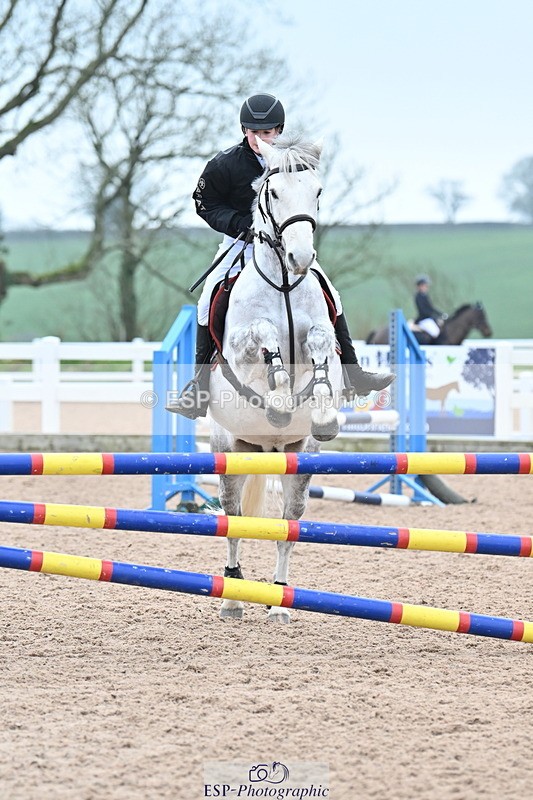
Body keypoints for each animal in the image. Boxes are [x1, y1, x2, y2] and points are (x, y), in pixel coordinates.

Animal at [207, 134, 344, 623]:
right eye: (275, 194)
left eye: (317, 192)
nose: (300, 257)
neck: (284, 282)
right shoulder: (241, 352)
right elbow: (265, 339)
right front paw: (282, 399)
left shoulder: (320, 334)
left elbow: (320, 346)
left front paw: (321, 410)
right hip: (230, 452)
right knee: (232, 519)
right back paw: (231, 597)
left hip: (295, 458)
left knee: (289, 521)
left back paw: (280, 600)